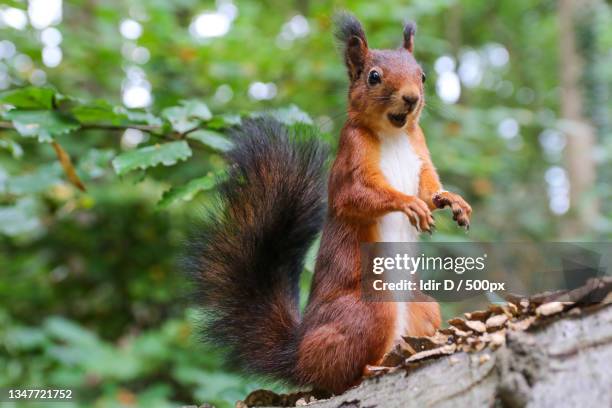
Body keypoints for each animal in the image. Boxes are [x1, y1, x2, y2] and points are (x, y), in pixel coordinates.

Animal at [189, 12, 470, 396]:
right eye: (373, 76)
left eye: (423, 75)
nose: (412, 98)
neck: (395, 134)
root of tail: (298, 355)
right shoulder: (349, 162)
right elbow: (358, 197)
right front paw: (409, 204)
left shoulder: (421, 155)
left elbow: (430, 188)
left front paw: (452, 200)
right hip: (369, 311)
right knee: (340, 376)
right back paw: (372, 367)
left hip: (423, 307)